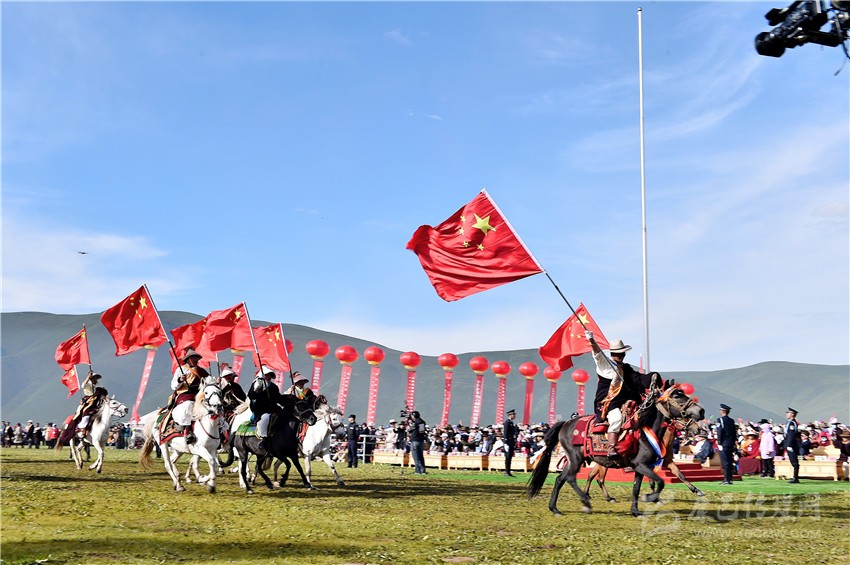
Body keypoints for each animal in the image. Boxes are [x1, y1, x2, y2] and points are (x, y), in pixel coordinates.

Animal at [526, 383, 704, 517]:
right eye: (677, 396)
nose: (700, 412)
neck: (645, 432)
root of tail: (565, 424)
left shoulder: (642, 467)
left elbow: (637, 488)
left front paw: (636, 511)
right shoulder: (642, 465)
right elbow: (660, 482)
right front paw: (650, 498)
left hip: (574, 460)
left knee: (560, 479)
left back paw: (555, 508)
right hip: (576, 458)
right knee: (572, 478)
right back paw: (586, 502)